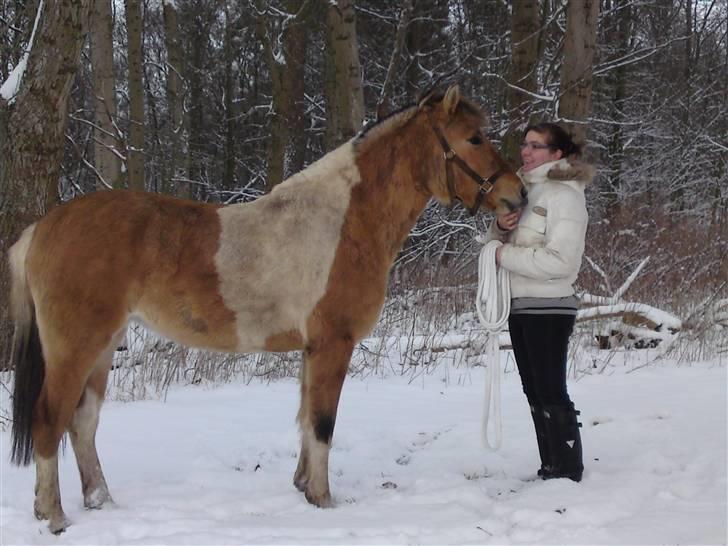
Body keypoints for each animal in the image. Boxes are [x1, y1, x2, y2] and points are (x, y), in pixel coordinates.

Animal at [8, 86, 528, 532]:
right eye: (474, 137)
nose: (517, 194)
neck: (344, 223)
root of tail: (43, 227)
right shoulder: (333, 344)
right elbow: (322, 422)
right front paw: (324, 500)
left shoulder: (312, 349)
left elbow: (305, 417)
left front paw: (303, 489)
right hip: (76, 348)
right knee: (49, 419)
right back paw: (54, 516)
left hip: (103, 347)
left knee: (83, 423)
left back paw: (101, 502)